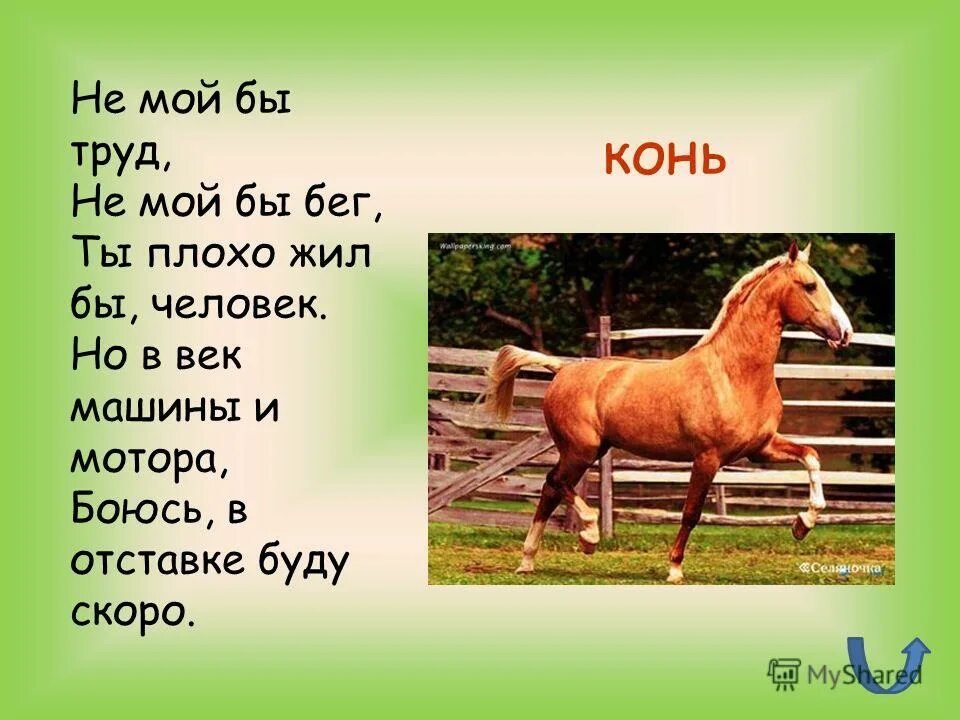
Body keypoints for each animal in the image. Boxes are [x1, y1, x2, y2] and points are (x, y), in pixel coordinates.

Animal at [483, 241, 853, 583]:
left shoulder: (760, 449)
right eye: (810, 285)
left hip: (590, 450)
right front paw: (675, 569)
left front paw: (802, 524)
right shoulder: (707, 458)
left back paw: (528, 561)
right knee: (554, 483)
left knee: (550, 491)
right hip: (580, 450)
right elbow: (691, 512)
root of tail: (562, 369)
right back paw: (588, 536)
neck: (733, 373)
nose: (845, 333)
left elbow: (811, 456)